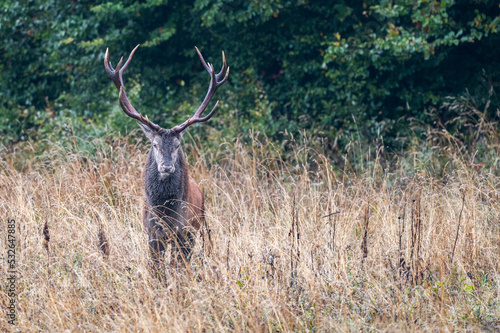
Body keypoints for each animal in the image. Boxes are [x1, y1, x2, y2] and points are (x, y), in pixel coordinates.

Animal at [105, 44, 230, 270]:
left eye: (177, 145)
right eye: (154, 144)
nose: (166, 167)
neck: (165, 213)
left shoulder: (184, 232)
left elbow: (178, 266)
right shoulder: (152, 233)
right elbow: (156, 269)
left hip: (199, 226)